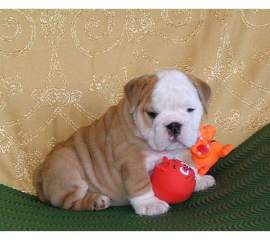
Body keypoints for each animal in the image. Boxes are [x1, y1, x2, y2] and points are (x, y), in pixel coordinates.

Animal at [34, 69, 215, 216]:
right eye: (152, 114)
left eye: (190, 110)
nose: (174, 125)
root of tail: (40, 175)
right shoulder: (131, 160)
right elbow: (141, 183)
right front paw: (150, 204)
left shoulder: (182, 148)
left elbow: (189, 162)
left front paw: (198, 179)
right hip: (66, 166)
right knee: (69, 203)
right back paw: (95, 201)